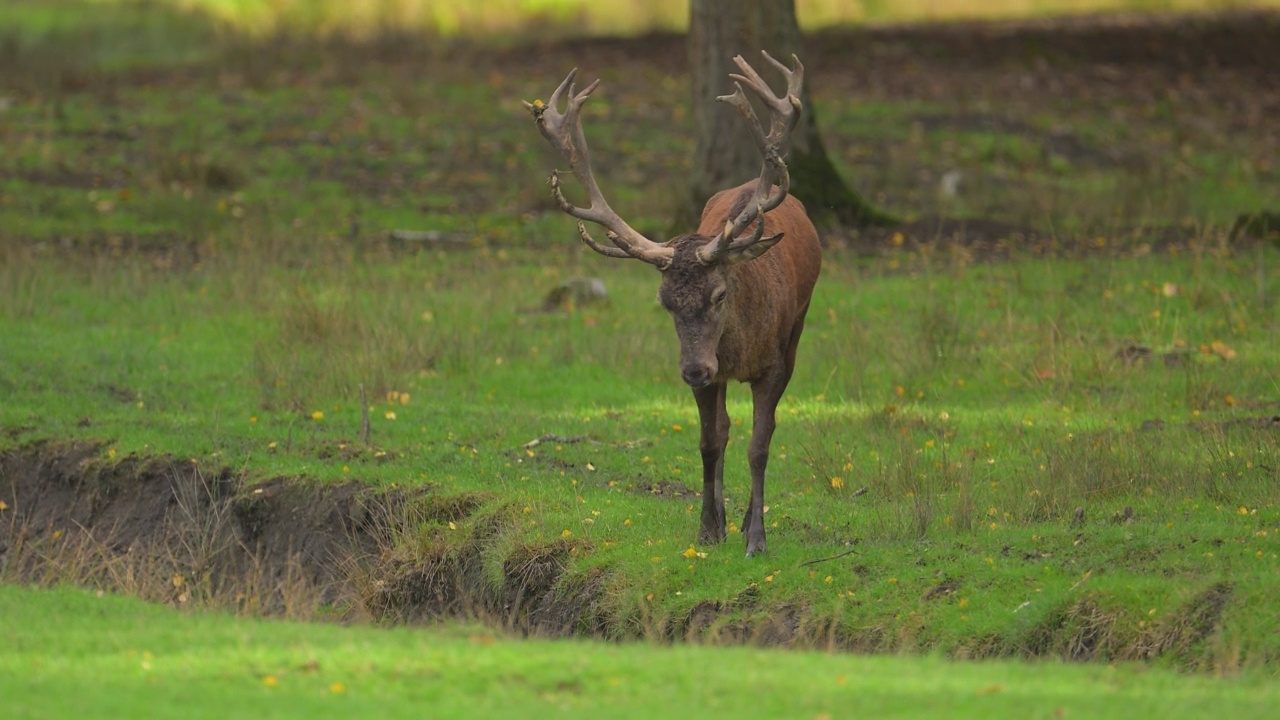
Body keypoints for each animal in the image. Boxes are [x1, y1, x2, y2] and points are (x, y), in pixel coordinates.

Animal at [524, 50, 824, 556]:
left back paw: (747, 520)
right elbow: (709, 442)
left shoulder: (773, 365)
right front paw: (708, 529)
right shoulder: (709, 379)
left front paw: (756, 539)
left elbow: (760, 444)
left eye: (720, 293)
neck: (737, 348)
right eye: (664, 301)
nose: (693, 369)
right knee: (724, 429)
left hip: (798, 330)